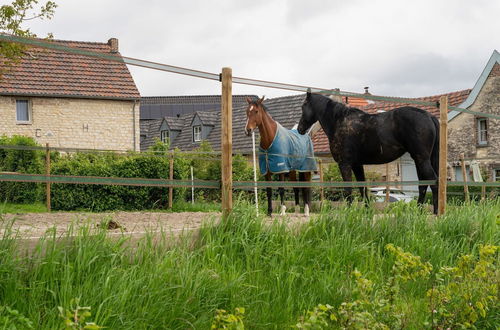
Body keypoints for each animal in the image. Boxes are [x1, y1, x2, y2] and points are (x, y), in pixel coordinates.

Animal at [296, 91, 438, 214]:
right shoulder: (357, 165)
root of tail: (429, 116)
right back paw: (419, 211)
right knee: (423, 185)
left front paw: (348, 211)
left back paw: (436, 212)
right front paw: (367, 210)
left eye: (303, 106)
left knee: (433, 181)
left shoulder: (344, 164)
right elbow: (362, 187)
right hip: (419, 160)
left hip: (421, 159)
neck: (339, 121)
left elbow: (348, 189)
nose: (300, 129)